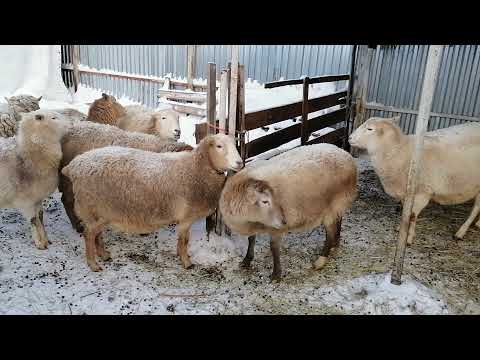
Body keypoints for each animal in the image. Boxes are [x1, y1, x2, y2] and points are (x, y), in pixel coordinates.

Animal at [0, 111, 68, 249]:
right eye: (53, 118)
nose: (70, 125)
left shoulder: (37, 199)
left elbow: (40, 218)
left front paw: (46, 239)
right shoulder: (24, 201)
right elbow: (33, 220)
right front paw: (40, 243)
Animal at [62, 134, 244, 272]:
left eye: (235, 145)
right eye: (219, 146)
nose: (240, 163)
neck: (196, 168)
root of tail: (73, 166)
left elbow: (182, 240)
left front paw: (181, 255)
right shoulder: (186, 217)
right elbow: (184, 241)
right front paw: (186, 262)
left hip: (100, 212)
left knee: (96, 234)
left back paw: (104, 255)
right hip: (90, 208)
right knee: (88, 235)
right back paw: (93, 264)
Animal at [219, 143, 358, 282]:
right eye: (265, 201)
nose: (284, 221)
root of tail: (345, 154)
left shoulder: (275, 228)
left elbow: (274, 248)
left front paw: (276, 274)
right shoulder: (255, 224)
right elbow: (251, 239)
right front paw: (247, 260)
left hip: (333, 205)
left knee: (330, 234)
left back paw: (321, 260)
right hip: (338, 204)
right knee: (339, 219)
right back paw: (336, 242)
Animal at [346, 116, 480, 243]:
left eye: (370, 129)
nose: (349, 138)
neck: (400, 153)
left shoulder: (423, 193)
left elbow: (412, 216)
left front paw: (409, 238)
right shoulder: (405, 194)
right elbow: (405, 212)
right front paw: (401, 229)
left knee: (476, 208)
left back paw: (461, 232)